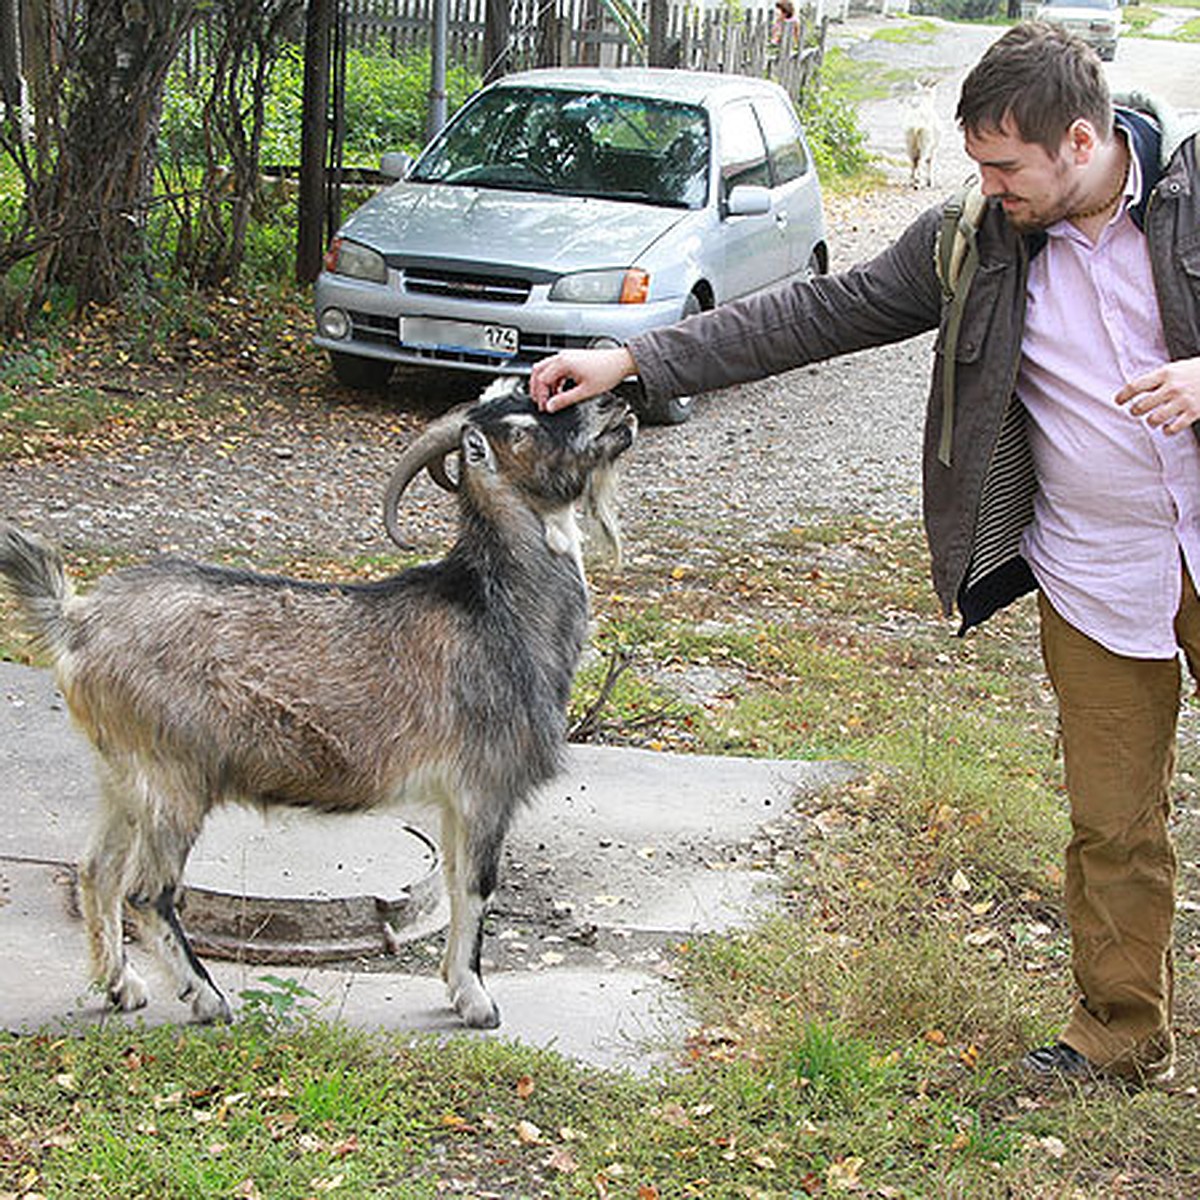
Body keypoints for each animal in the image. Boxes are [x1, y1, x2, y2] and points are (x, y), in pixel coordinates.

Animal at [2, 381, 638, 1032]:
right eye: (519, 428)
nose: (616, 404)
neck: (494, 611)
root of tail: (77, 622)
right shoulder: (485, 785)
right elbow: (478, 887)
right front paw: (477, 1002)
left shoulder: (456, 799)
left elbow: (456, 880)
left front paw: (458, 989)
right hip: (171, 778)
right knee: (145, 891)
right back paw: (208, 998)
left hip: (122, 774)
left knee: (96, 870)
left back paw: (121, 986)